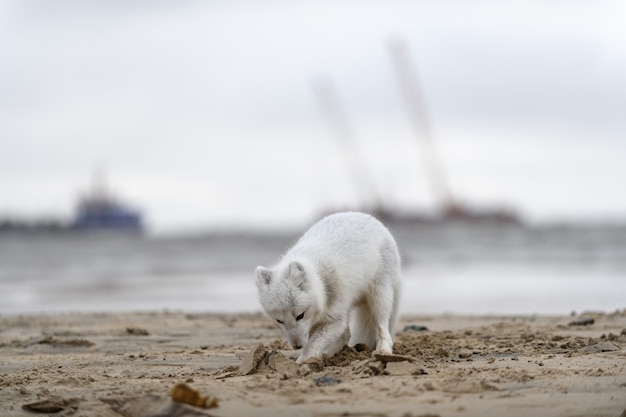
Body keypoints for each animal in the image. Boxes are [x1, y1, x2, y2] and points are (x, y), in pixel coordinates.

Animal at [254, 211, 400, 360]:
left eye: (300, 316)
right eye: (279, 321)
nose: (297, 346)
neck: (321, 283)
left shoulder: (335, 319)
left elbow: (313, 343)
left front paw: (303, 361)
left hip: (379, 299)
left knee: (383, 329)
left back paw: (383, 350)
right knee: (347, 335)